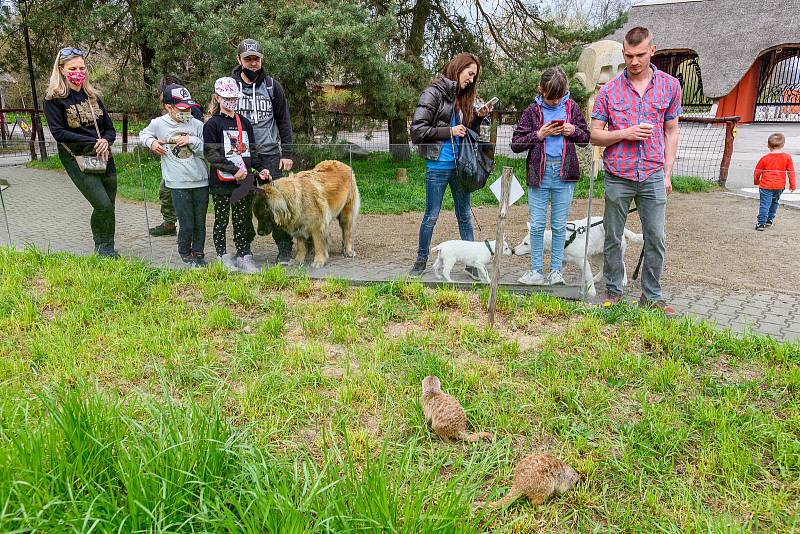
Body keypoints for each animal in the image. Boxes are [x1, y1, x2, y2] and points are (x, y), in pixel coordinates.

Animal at [512, 218, 644, 298]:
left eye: (526, 244)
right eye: (522, 242)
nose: (513, 250)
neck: (564, 240)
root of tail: (623, 229)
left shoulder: (583, 261)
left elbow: (588, 278)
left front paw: (591, 292)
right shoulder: (563, 261)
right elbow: (555, 273)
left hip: (613, 252)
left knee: (622, 264)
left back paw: (623, 280)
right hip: (597, 255)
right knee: (603, 267)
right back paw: (598, 278)